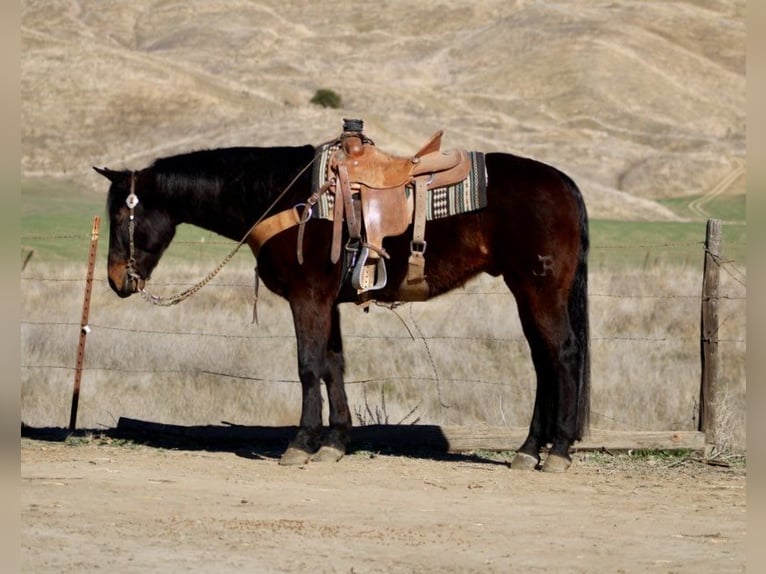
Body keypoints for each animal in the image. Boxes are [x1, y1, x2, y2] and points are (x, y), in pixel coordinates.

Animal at [93, 134, 592, 472]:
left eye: (121, 213)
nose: (117, 280)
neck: (288, 197)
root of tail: (564, 183)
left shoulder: (307, 297)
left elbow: (308, 365)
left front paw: (300, 444)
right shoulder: (327, 302)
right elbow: (334, 364)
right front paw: (334, 442)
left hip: (539, 288)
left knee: (564, 355)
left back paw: (557, 451)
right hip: (525, 290)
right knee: (543, 361)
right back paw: (529, 450)